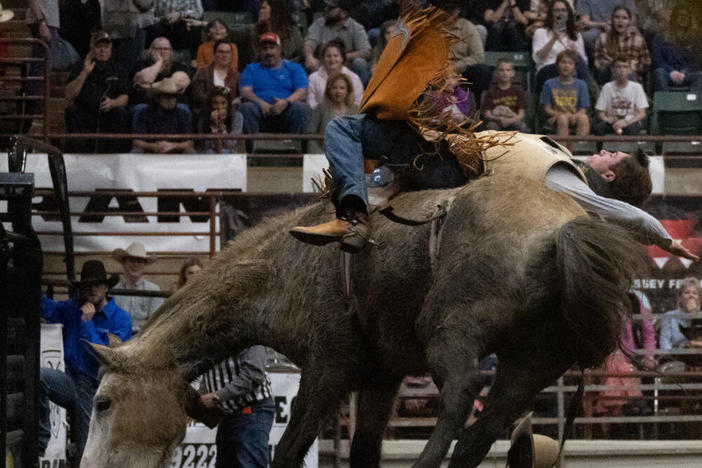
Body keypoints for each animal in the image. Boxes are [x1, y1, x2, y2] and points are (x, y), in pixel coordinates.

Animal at [78, 175, 644, 468]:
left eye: (102, 402)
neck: (286, 265)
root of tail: (564, 227)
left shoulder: (327, 365)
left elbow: (290, 447)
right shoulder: (380, 376)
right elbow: (365, 448)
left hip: (453, 326)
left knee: (463, 392)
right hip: (536, 357)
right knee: (491, 420)